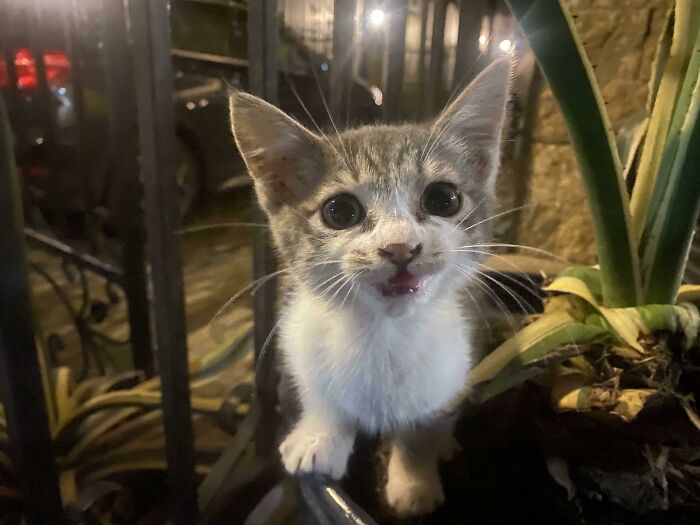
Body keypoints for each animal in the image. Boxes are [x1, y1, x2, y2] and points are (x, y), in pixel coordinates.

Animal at [232, 57, 512, 516]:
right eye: (339, 211)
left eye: (444, 199)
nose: (401, 247)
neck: (381, 334)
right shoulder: (295, 334)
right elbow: (320, 391)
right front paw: (319, 436)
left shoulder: (452, 366)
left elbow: (422, 430)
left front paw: (414, 481)